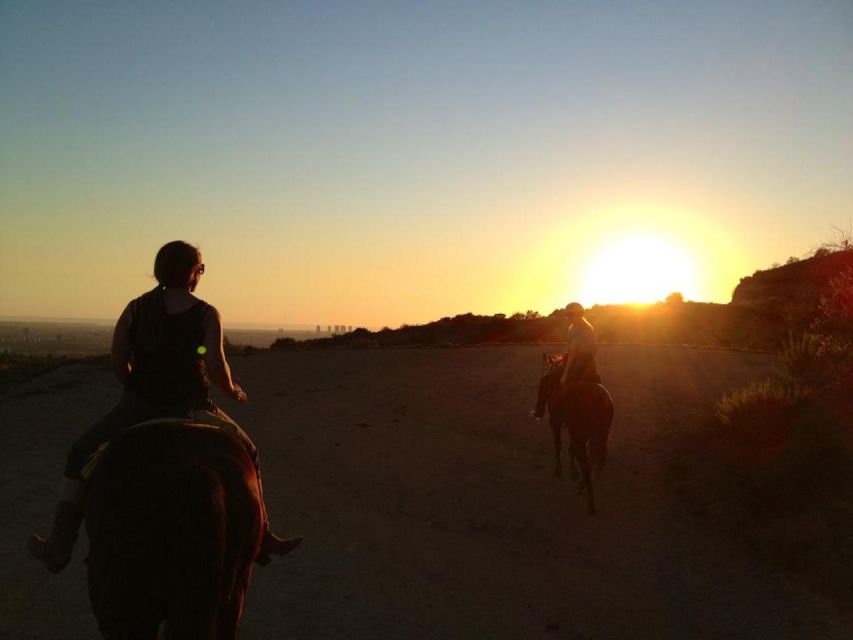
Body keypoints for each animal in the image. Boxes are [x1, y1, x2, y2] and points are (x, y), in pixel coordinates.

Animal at [536, 356, 608, 516]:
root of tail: (600, 399)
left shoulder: (555, 423)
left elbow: (558, 445)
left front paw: (558, 471)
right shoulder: (573, 430)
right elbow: (569, 449)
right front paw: (572, 471)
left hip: (581, 435)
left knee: (586, 463)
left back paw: (590, 504)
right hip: (597, 435)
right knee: (594, 459)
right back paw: (582, 487)